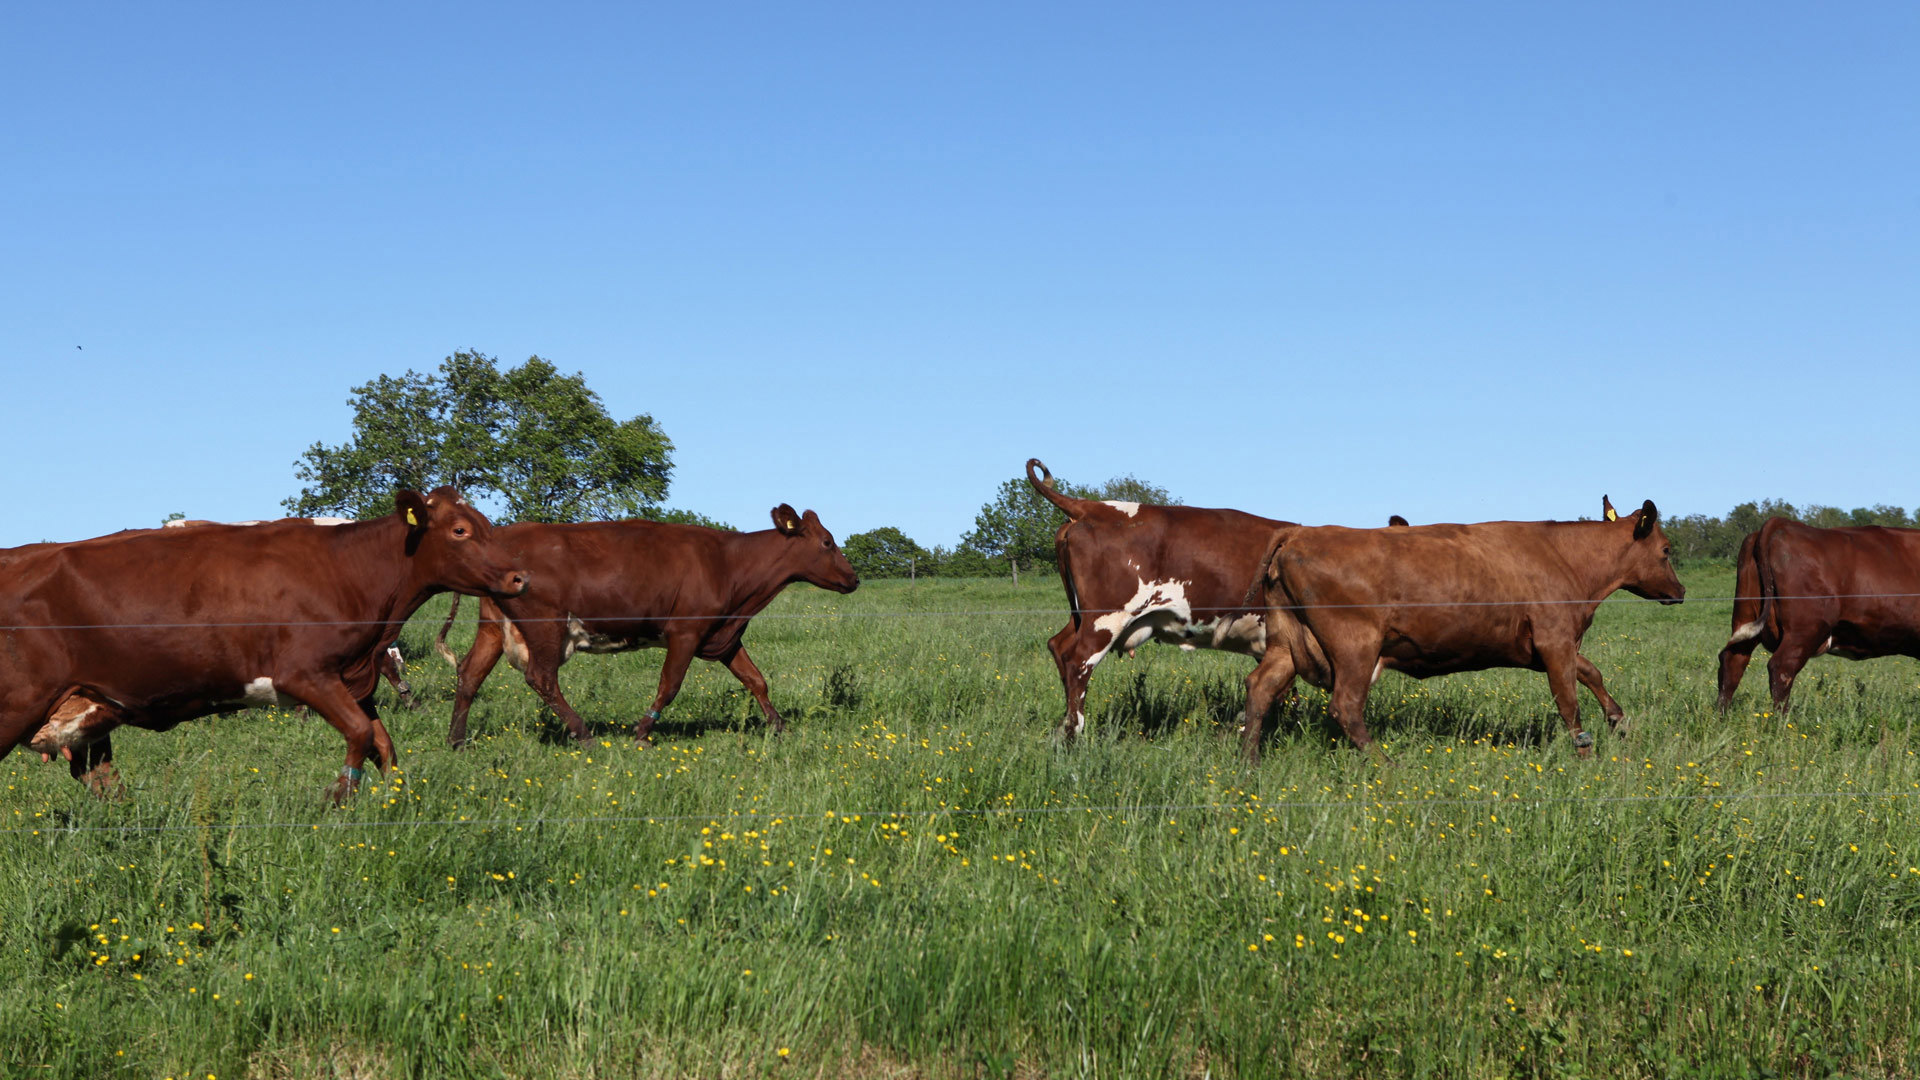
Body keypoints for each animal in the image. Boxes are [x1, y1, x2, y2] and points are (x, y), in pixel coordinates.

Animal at [0, 489, 526, 801]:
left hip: (86, 710)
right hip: (18, 703)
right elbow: (360, 735)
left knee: (103, 781)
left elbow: (382, 743)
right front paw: (337, 800)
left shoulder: (351, 679)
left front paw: (392, 801)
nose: (519, 577)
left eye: (485, 523)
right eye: (460, 530)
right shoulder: (307, 674)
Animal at [438, 505, 859, 748]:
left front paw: (780, 728)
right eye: (827, 542)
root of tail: (501, 533)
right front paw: (642, 733)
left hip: (494, 626)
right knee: (541, 678)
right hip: (546, 626)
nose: (853, 578)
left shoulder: (723, 636)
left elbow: (757, 680)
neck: (730, 566)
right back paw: (584, 735)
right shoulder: (685, 632)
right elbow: (669, 686)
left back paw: (457, 741)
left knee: (470, 674)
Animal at [1026, 458, 1297, 740]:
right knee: (1077, 661)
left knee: (1058, 645)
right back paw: (1073, 730)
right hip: (1105, 620)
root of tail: (1091, 506)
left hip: (1081, 616)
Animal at [1240, 496, 1685, 761]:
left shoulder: (1545, 647)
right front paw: (1586, 756)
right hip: (1355, 646)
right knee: (1346, 706)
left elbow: (1590, 670)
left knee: (1260, 687)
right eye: (1666, 550)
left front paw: (1618, 719)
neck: (1565, 558)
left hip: (1286, 642)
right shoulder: (1555, 639)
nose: (1680, 591)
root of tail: (1300, 533)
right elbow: (1569, 703)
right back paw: (1385, 765)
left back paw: (1249, 759)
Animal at [1714, 517, 1920, 713]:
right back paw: (1781, 722)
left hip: (1746, 616)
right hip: (1806, 629)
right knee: (1781, 668)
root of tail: (1782, 523)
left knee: (1733, 661)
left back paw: (1721, 716)